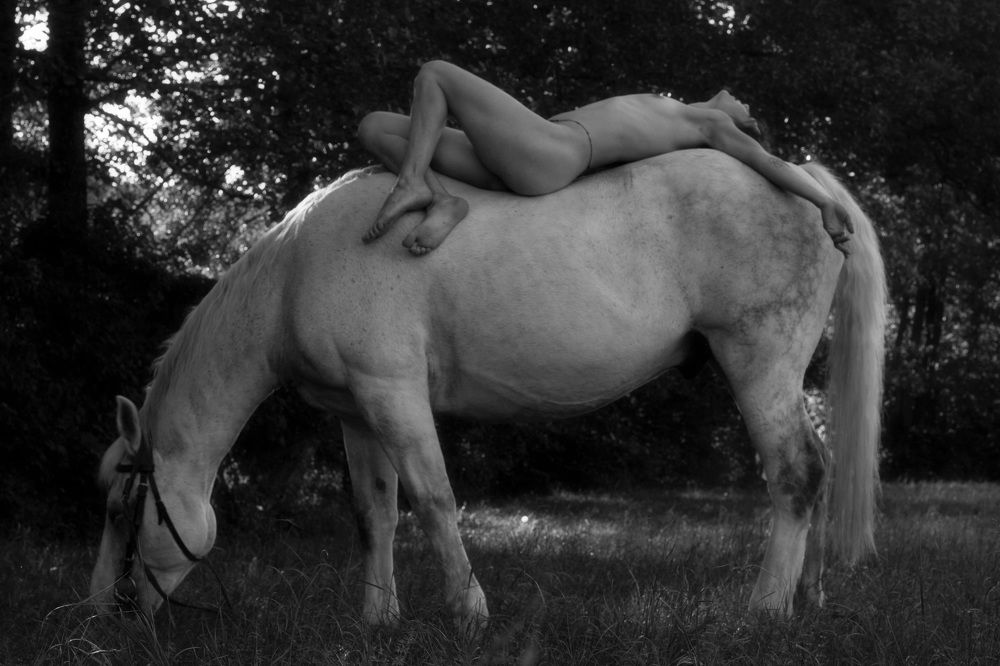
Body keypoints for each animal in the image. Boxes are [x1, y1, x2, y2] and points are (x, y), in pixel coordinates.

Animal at [90, 149, 887, 631]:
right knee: (820, 469)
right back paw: (806, 595)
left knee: (796, 474)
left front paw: (468, 613)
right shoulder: (357, 412)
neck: (297, 271)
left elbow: (435, 500)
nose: (102, 615)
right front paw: (378, 619)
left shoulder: (393, 394)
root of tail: (807, 182)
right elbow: (373, 515)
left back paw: (765, 608)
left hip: (760, 363)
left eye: (124, 508)